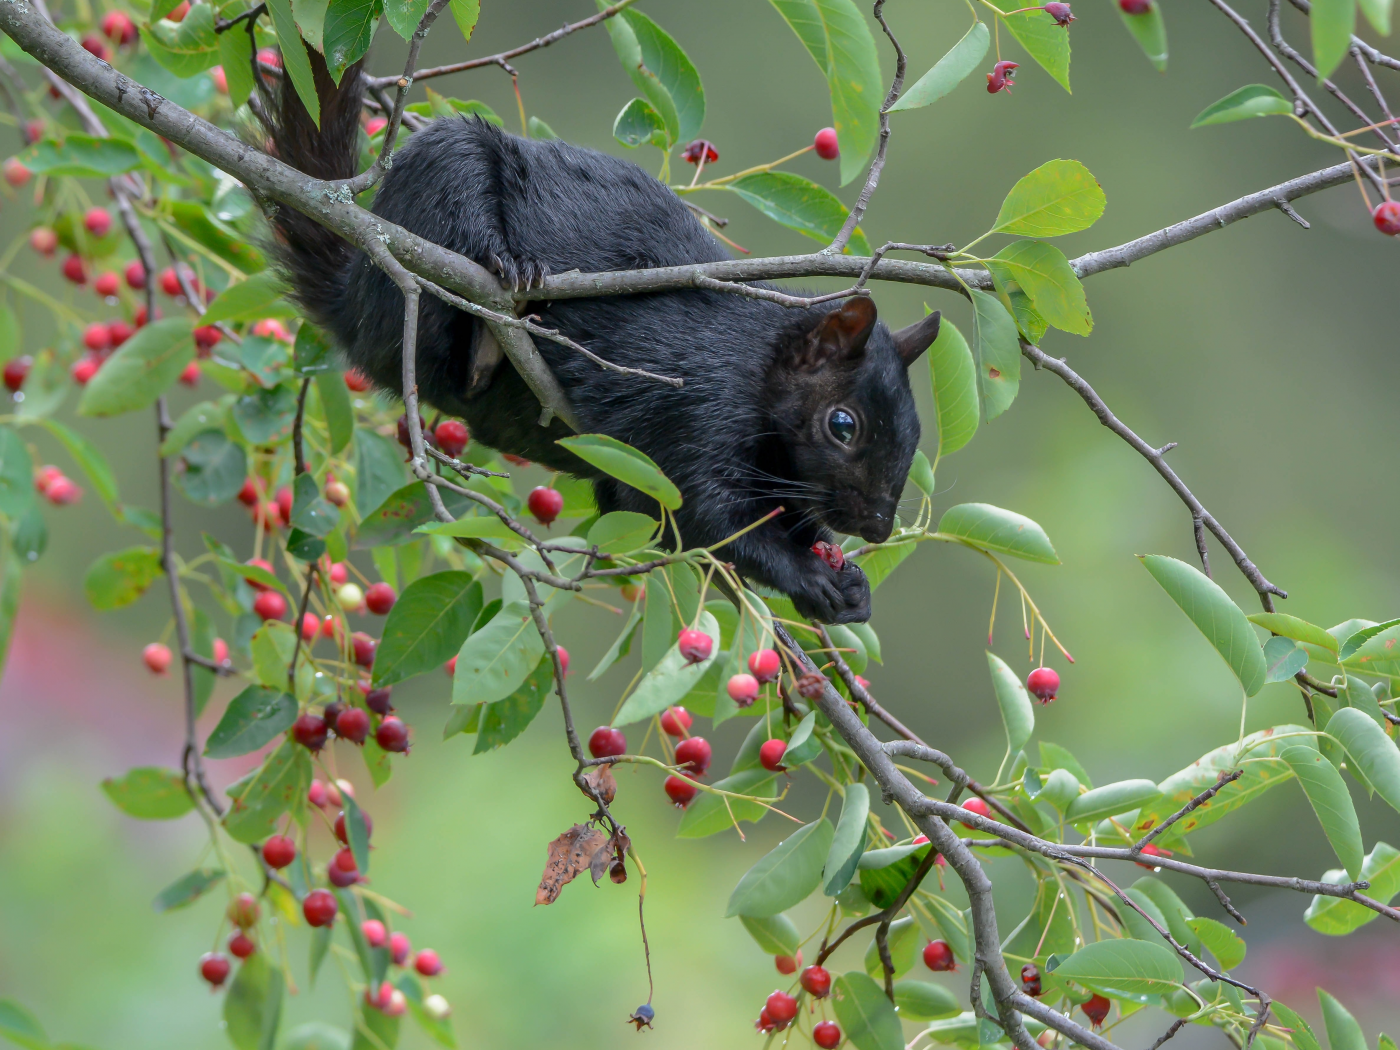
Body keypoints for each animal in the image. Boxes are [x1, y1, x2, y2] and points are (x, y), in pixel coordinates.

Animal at [267, 59, 940, 624]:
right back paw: (501, 299)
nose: (878, 528)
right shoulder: (695, 403)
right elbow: (702, 514)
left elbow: (655, 514)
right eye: (842, 425)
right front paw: (809, 576)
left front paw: (847, 580)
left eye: (914, 432)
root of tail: (351, 298)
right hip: (438, 192)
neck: (758, 364)